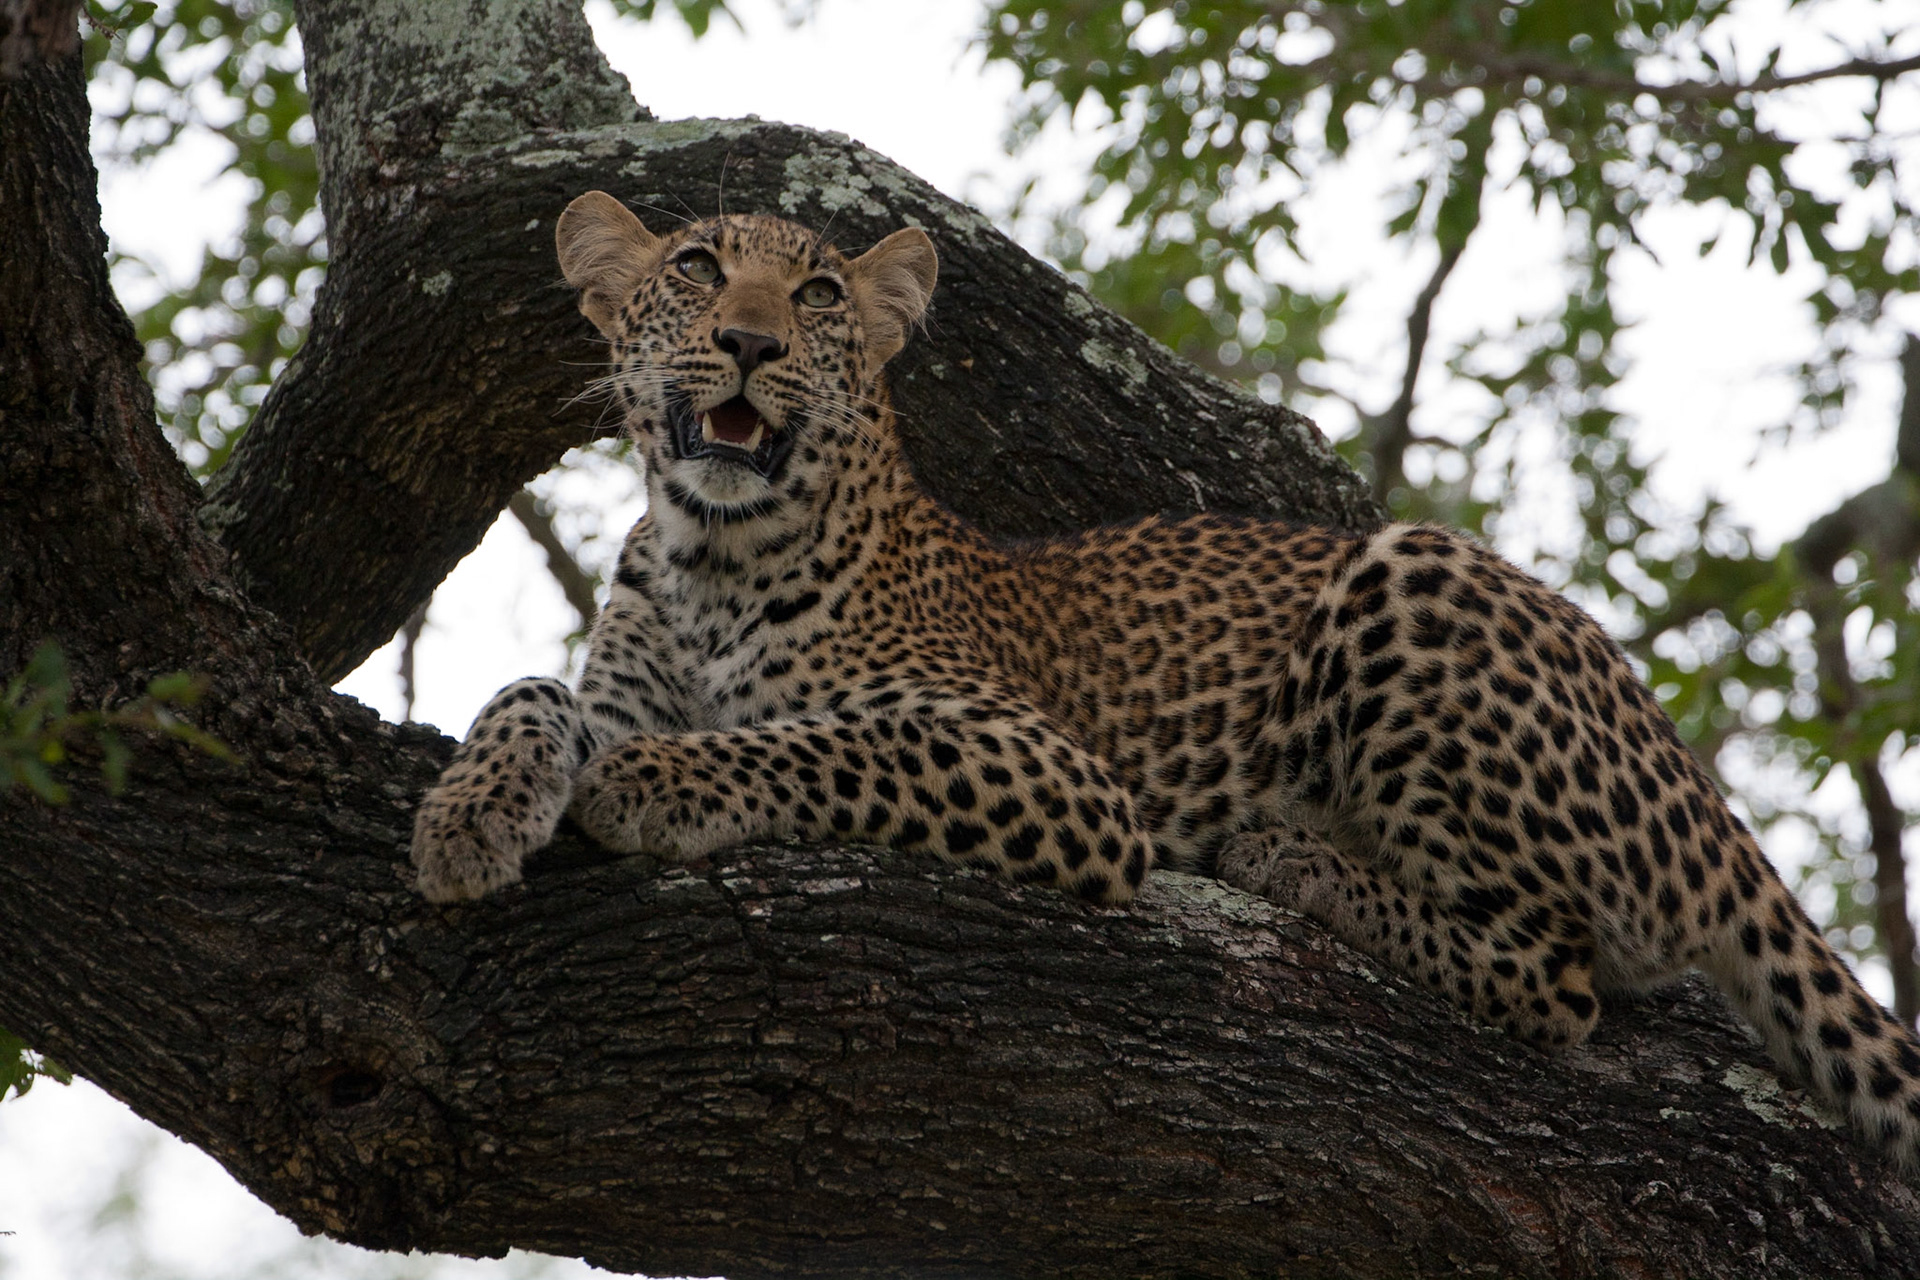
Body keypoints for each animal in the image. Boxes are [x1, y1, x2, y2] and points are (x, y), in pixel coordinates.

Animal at [411, 189, 1920, 1167]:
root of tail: (1692, 774)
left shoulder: (1051, 770)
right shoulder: (617, 675)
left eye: (820, 295)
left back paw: (1295, 858)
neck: (713, 550)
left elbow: (813, 741)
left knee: (1556, 980)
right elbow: (531, 694)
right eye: (696, 266)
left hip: (1417, 580)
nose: (748, 342)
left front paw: (663, 782)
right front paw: (470, 812)